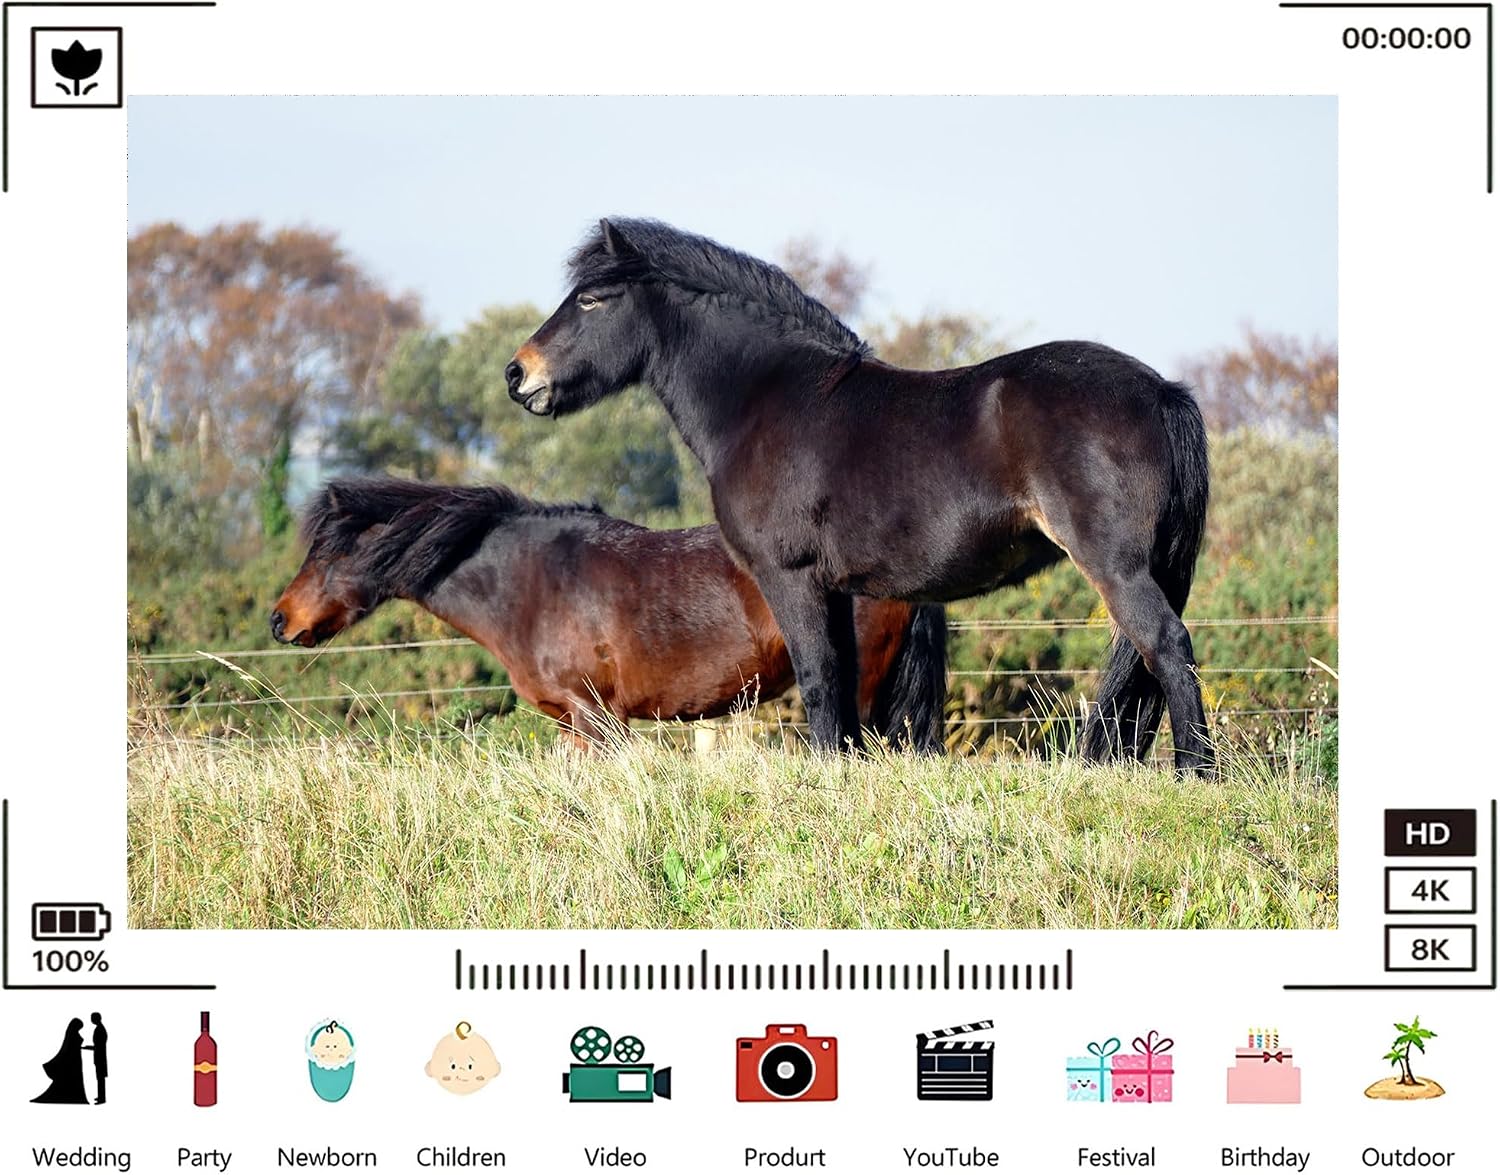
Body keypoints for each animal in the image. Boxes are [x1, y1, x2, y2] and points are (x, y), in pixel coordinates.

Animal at [505, 218, 1213, 772]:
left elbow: (819, 680)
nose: (518, 373)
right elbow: (843, 689)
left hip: (1117, 567)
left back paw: (1196, 773)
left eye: (592, 299)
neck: (768, 401)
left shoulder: (790, 578)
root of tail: (1160, 391)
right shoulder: (839, 589)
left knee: (1168, 646)